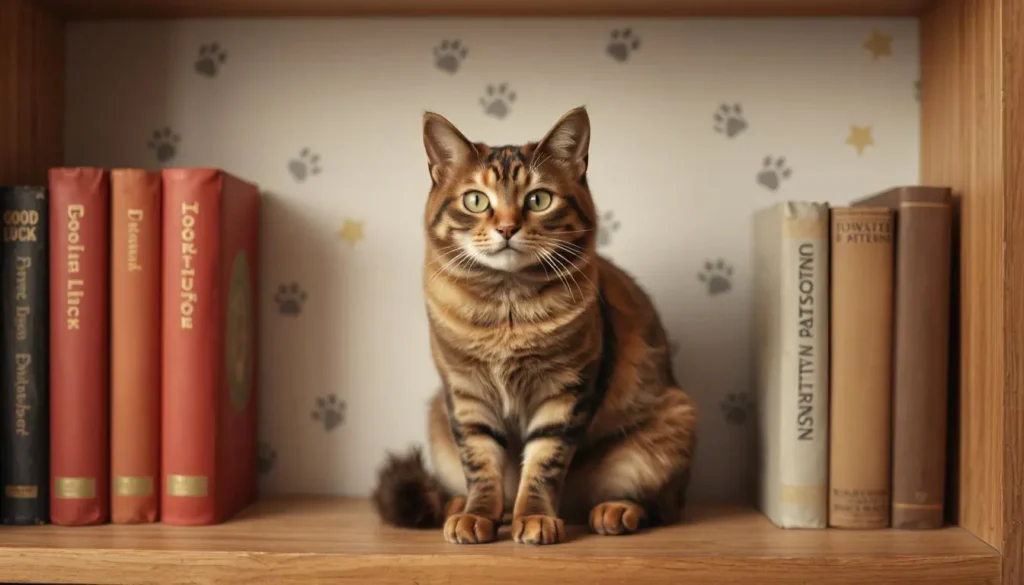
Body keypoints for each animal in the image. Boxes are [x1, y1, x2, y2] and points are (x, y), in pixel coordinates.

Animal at [372, 103, 700, 545]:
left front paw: (535, 517)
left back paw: (615, 511)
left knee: (661, 507)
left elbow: (543, 465)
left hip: (665, 432)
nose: (507, 228)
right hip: (438, 419)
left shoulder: (564, 391)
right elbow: (481, 466)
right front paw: (477, 515)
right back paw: (461, 506)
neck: (506, 309)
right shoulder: (466, 392)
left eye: (539, 199)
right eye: (476, 200)